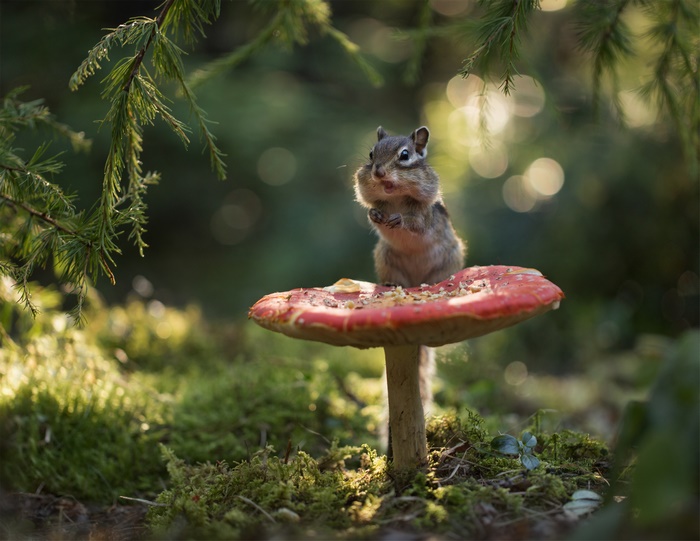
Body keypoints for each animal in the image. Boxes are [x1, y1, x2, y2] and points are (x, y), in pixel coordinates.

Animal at [354, 125, 466, 432]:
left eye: (405, 156)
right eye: (371, 154)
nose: (379, 172)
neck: (395, 198)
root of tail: (416, 282)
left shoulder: (425, 214)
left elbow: (416, 224)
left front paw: (399, 220)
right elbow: (373, 214)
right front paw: (375, 214)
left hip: (449, 257)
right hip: (385, 258)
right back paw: (393, 285)